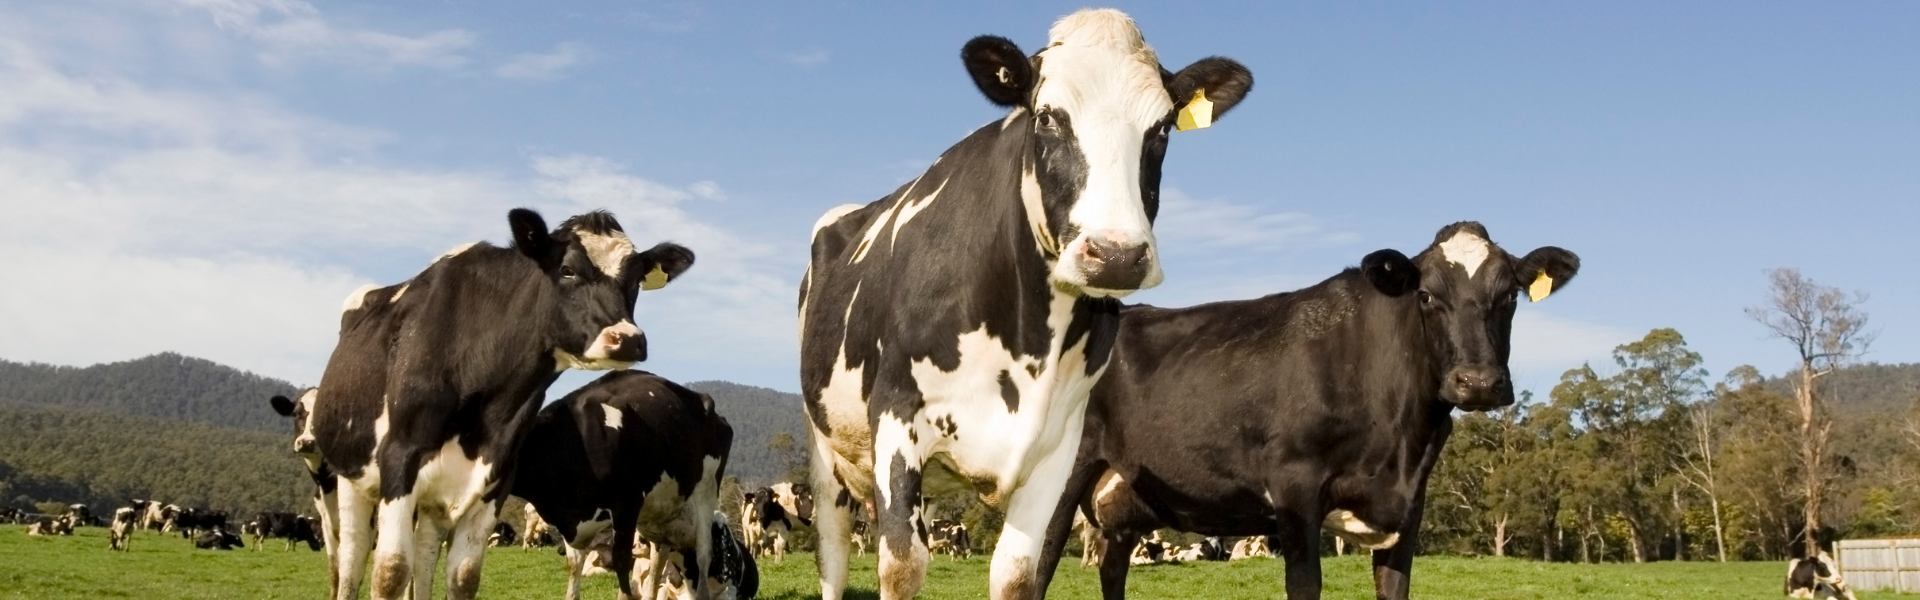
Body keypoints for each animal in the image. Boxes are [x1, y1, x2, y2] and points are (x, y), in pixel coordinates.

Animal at [311, 208, 693, 600]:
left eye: (635, 281)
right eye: (567, 270)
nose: (628, 339)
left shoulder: (496, 475)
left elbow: (463, 577)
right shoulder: (400, 460)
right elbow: (390, 573)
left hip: (435, 501)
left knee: (424, 558)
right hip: (351, 477)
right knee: (353, 557)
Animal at [511, 370, 733, 600]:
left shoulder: (627, 503)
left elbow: (622, 562)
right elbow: (574, 565)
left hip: (706, 491)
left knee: (703, 553)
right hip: (660, 519)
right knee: (657, 563)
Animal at [796, 9, 1254, 599]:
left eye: (1162, 128)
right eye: (1047, 117)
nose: (1116, 255)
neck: (1029, 336)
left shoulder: (1059, 444)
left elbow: (1018, 574)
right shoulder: (897, 414)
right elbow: (901, 565)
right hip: (825, 451)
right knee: (831, 553)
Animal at [1032, 222, 1582, 600]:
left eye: (1510, 296)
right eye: (1427, 295)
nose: (1478, 383)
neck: (1399, 441)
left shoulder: (1409, 506)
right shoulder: (1294, 488)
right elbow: (1305, 586)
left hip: (1121, 512)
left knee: (1110, 571)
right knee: (1034, 571)